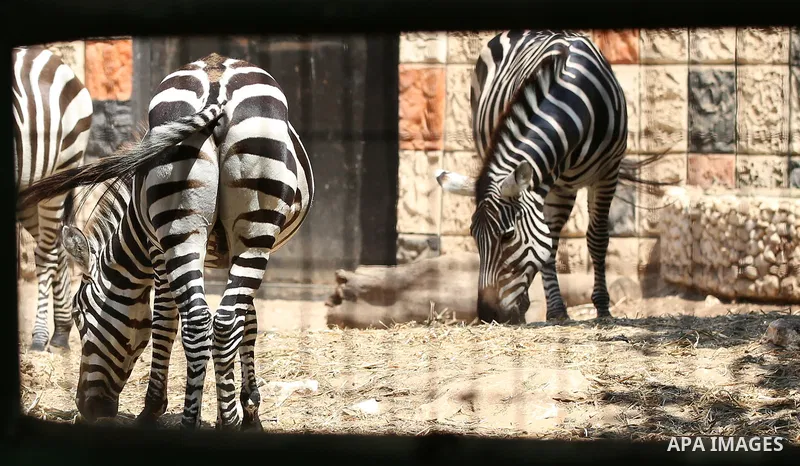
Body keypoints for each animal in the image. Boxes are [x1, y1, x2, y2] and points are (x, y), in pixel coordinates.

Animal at [13, 45, 93, 351]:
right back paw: (60, 331)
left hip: (61, 167)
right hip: (27, 191)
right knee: (58, 246)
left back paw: (40, 335)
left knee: (46, 253)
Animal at [435, 30, 669, 324]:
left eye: (508, 236)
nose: (488, 316)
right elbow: (547, 243)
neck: (575, 101)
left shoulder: (607, 173)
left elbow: (597, 238)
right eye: (473, 235)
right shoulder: (549, 182)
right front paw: (556, 310)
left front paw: (603, 309)